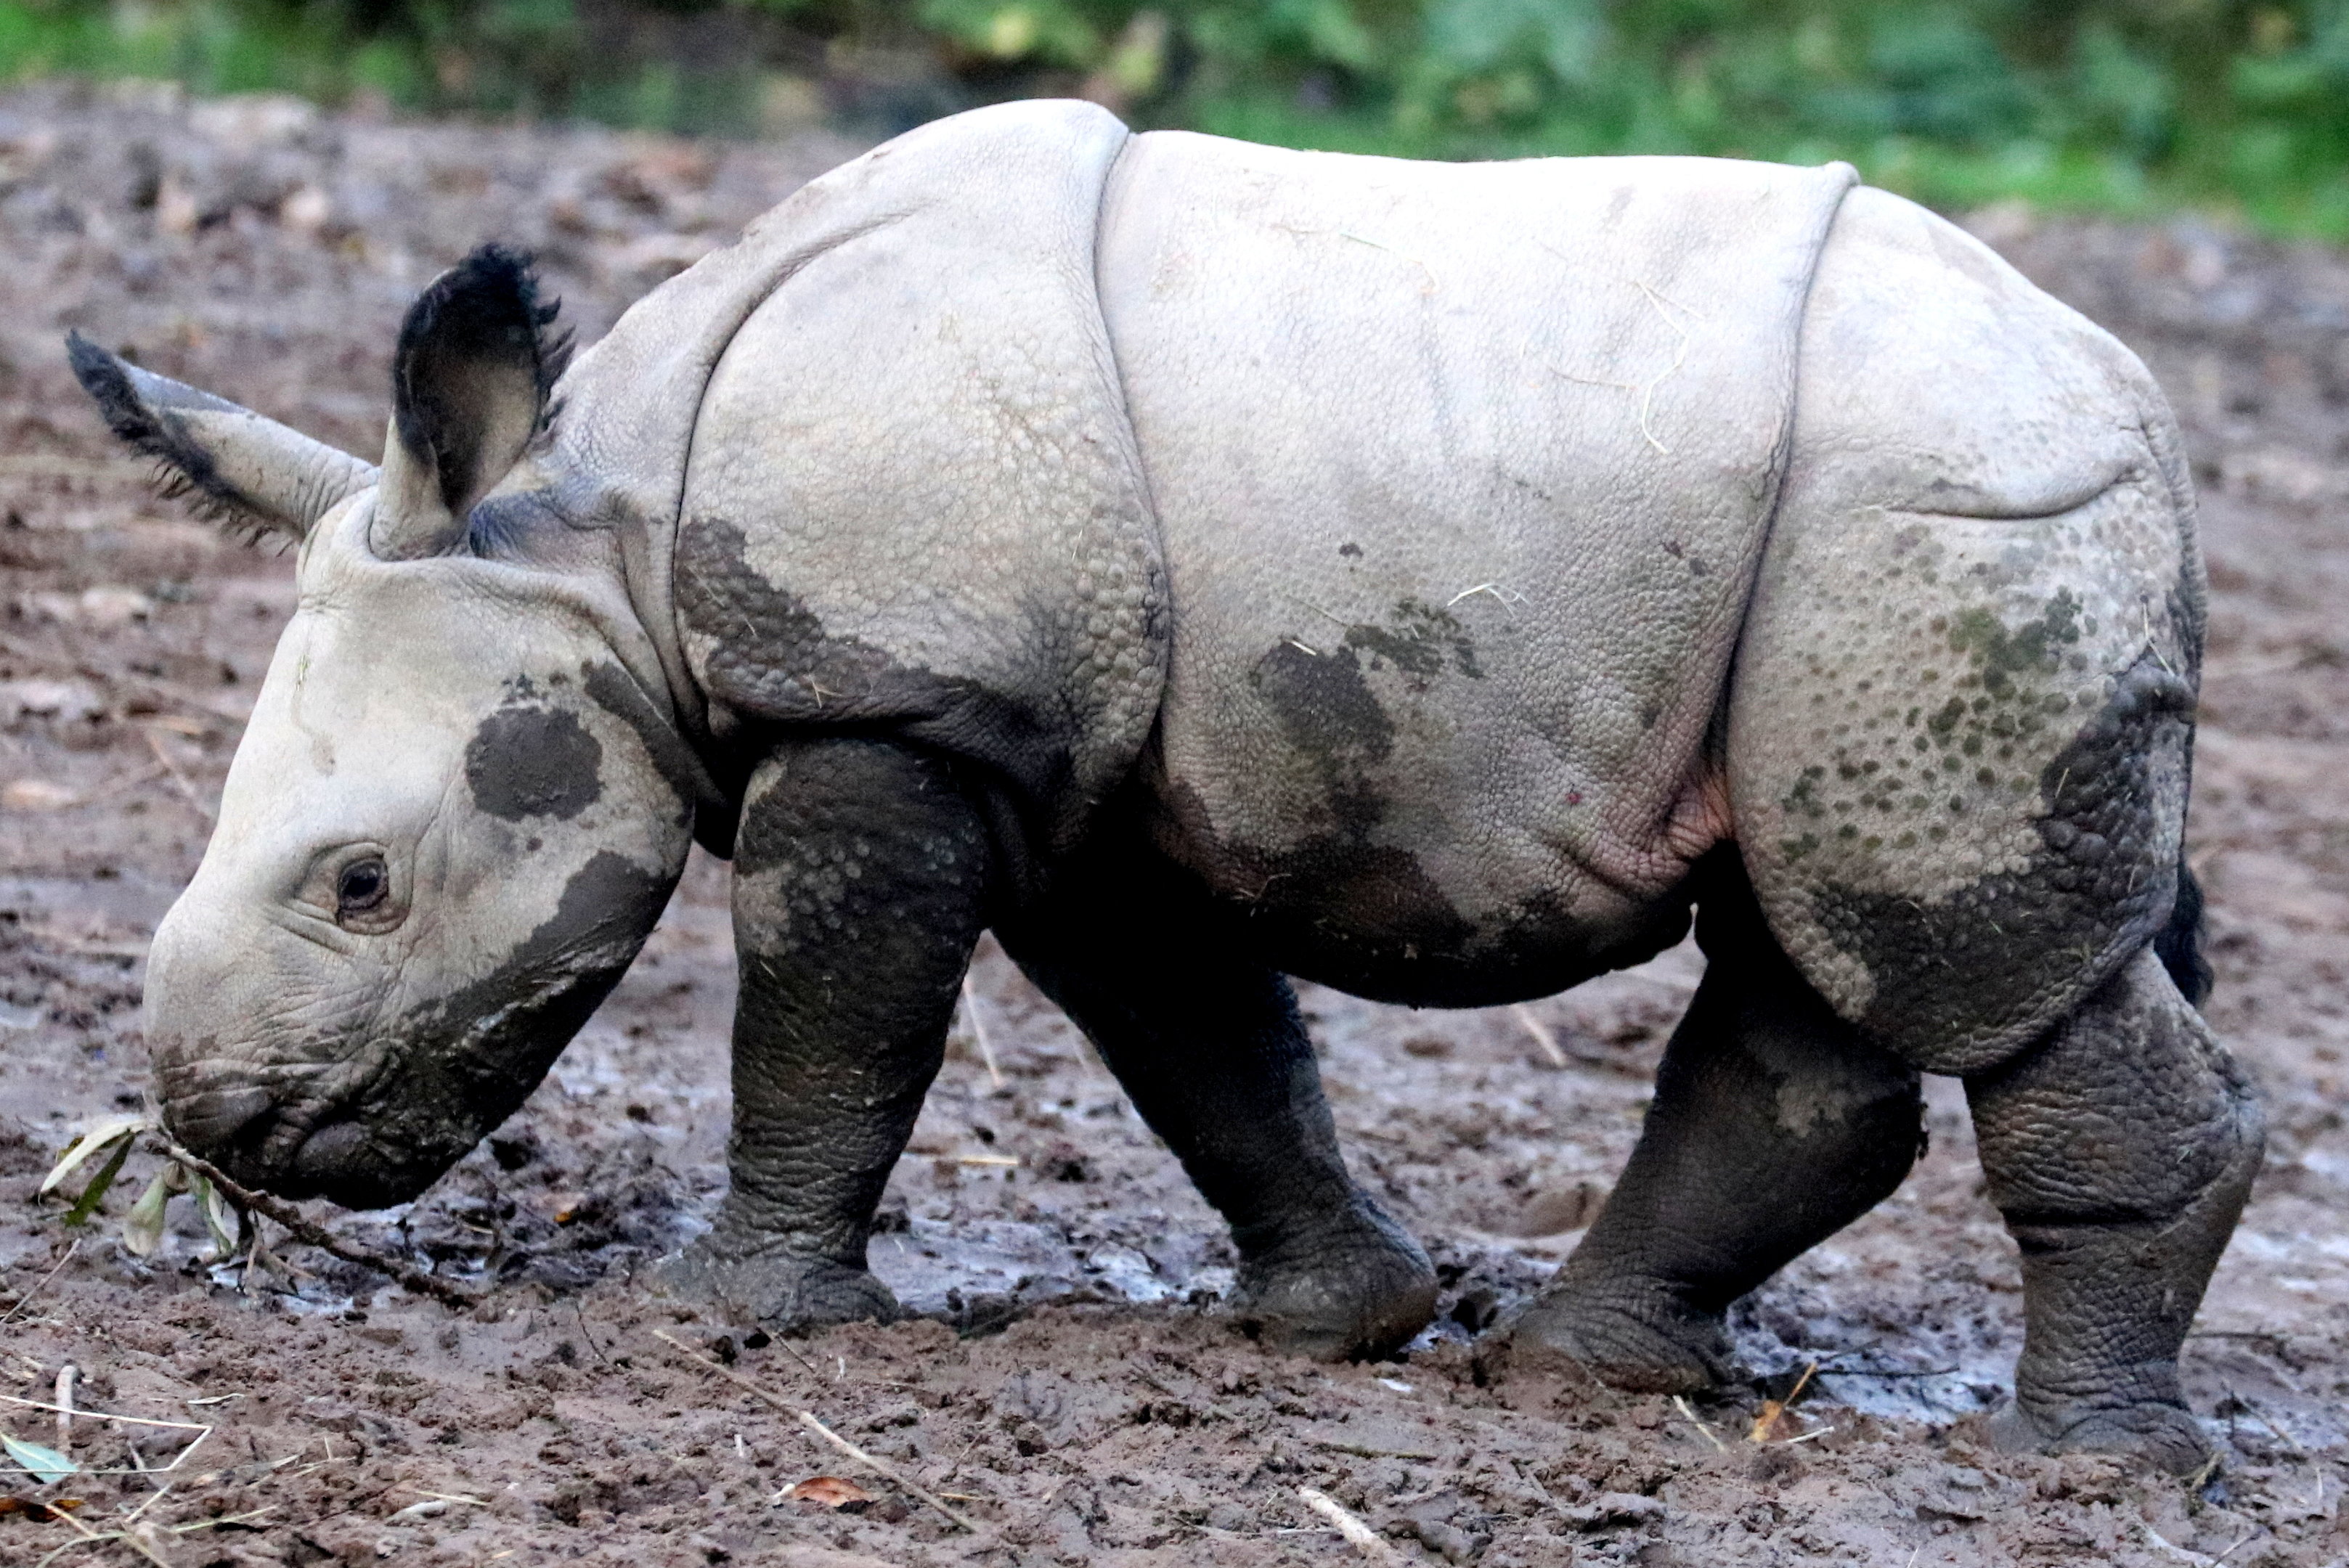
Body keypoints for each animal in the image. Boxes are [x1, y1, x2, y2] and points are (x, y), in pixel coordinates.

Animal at [70, 100, 2258, 1472]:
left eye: (361, 884)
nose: (226, 1132)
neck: (604, 528)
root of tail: (2138, 397)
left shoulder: (898, 692)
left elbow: (830, 1014)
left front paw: (729, 1315)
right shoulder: (1056, 756)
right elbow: (1193, 1031)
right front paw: (1336, 1325)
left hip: (1937, 531)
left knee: (1964, 958)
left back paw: (2085, 1472)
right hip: (1861, 563)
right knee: (1825, 943)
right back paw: (1579, 1377)